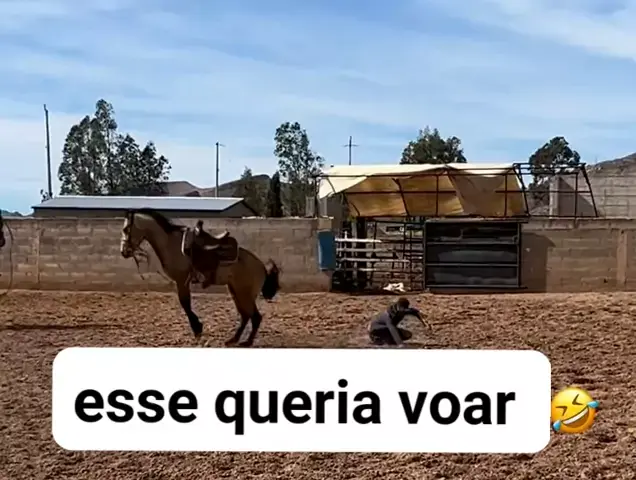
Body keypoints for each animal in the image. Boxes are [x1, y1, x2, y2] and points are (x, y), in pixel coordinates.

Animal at [119, 208, 281, 347]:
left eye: (126, 229)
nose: (123, 252)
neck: (172, 244)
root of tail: (260, 266)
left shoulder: (181, 281)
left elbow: (185, 303)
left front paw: (197, 328)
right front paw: (197, 328)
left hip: (244, 293)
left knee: (255, 316)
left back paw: (247, 342)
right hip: (236, 291)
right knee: (246, 315)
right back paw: (234, 340)